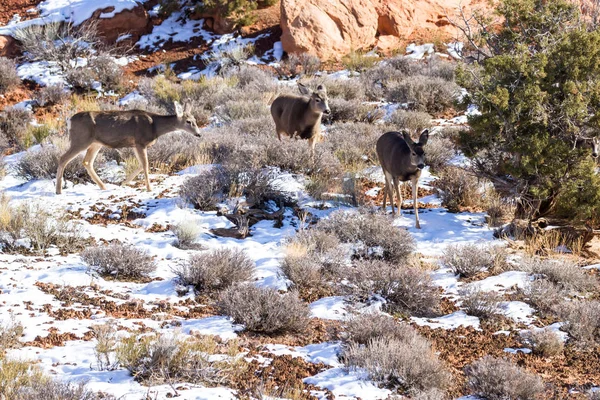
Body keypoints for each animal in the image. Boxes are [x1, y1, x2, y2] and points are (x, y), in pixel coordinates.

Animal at [54, 101, 199, 195]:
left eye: (195, 120)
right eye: (188, 121)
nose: (199, 134)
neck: (155, 127)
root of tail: (69, 121)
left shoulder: (135, 145)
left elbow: (141, 164)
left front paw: (124, 182)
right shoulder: (140, 142)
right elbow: (146, 165)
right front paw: (149, 189)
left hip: (96, 143)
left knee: (87, 162)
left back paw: (103, 187)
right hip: (80, 140)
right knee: (63, 158)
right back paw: (58, 190)